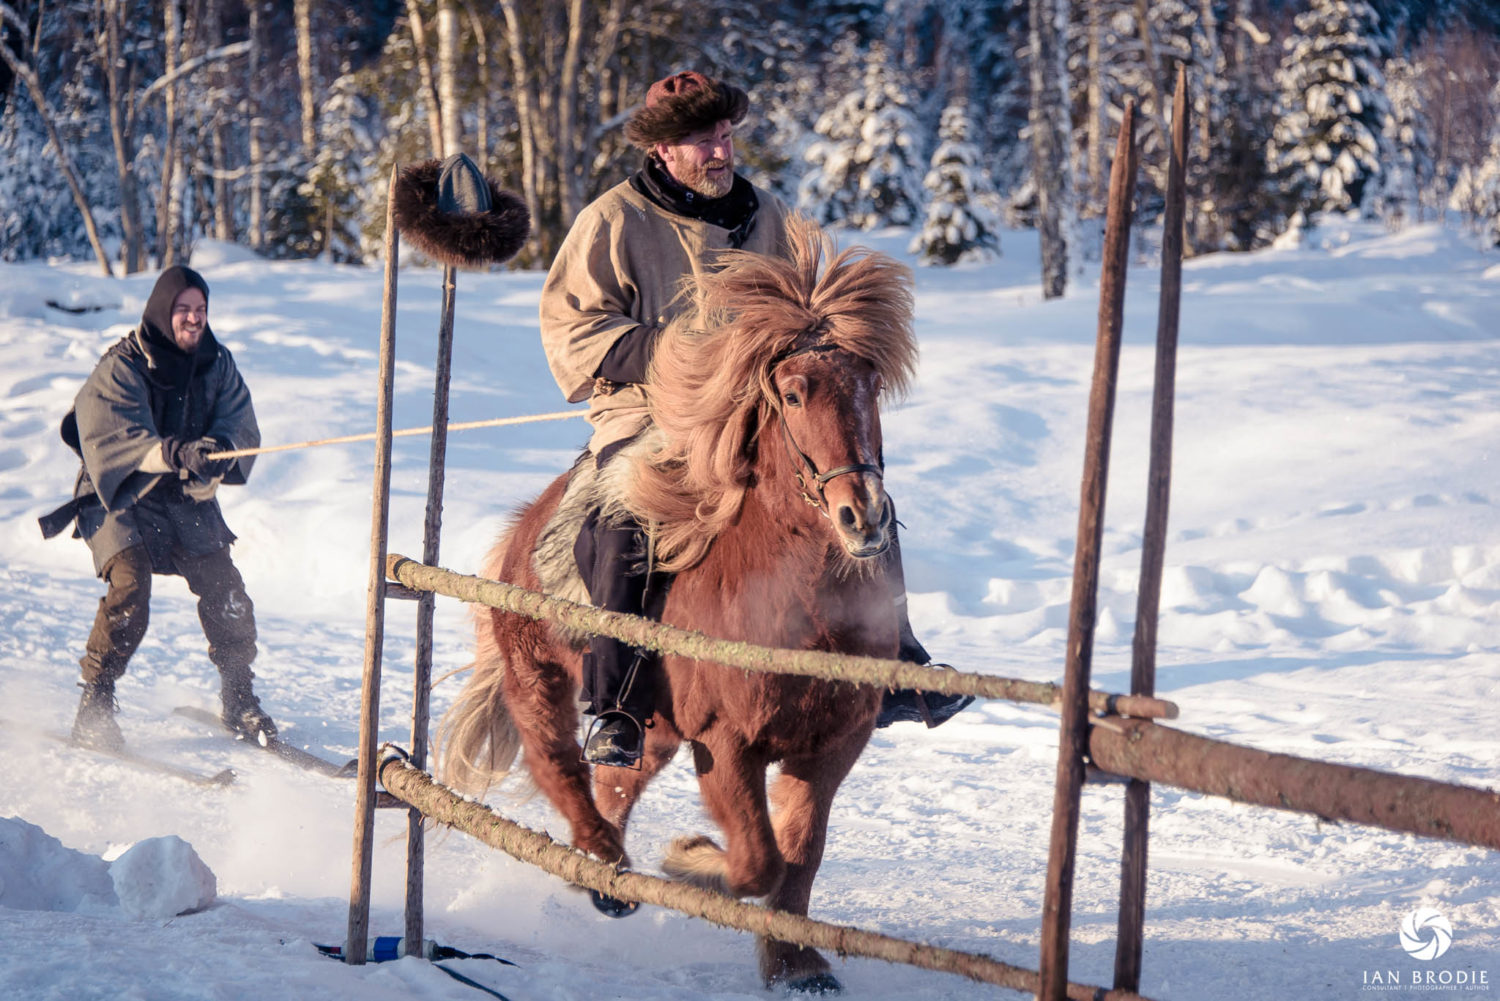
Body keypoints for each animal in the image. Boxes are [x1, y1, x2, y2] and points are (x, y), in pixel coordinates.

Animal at [438, 216, 918, 990]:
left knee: (618, 780)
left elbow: (800, 857)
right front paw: (690, 860)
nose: (864, 517)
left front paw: (794, 962)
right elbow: (758, 861)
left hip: (655, 724)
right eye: (792, 393)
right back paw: (601, 863)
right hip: (537, 678)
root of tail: (520, 534)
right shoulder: (725, 742)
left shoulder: (834, 742)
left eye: (869, 384)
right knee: (560, 765)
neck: (791, 609)